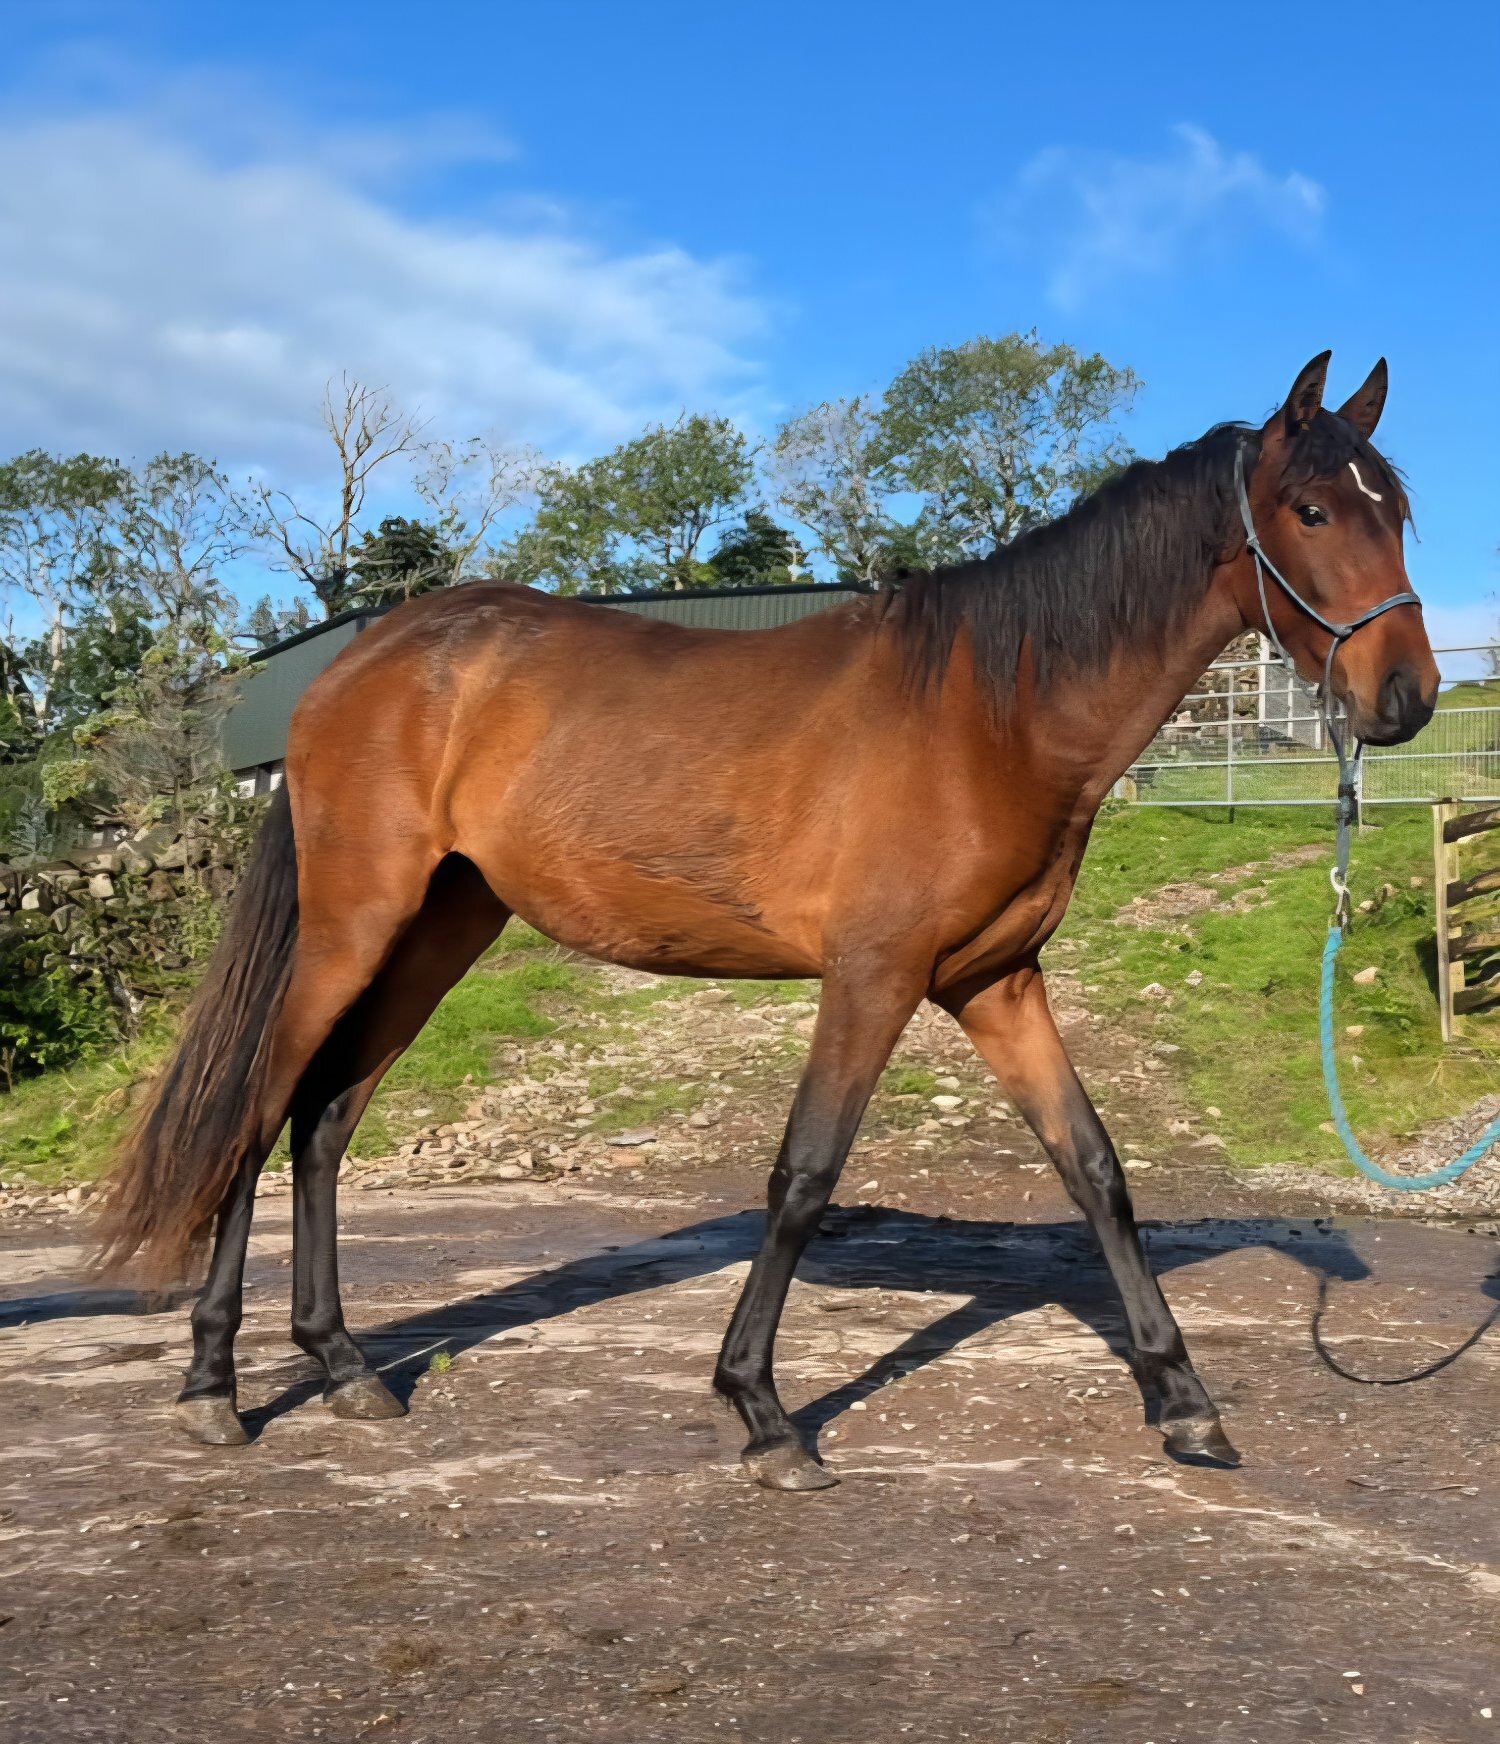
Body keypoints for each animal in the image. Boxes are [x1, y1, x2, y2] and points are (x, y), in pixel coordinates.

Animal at [96, 352, 1438, 1490]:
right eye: (1312, 513)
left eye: (1399, 512)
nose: (1409, 697)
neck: (993, 713)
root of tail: (361, 662)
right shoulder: (875, 976)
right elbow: (804, 1174)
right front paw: (762, 1411)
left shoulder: (997, 981)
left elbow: (1096, 1171)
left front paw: (1185, 1402)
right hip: (355, 925)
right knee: (260, 1108)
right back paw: (213, 1384)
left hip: (441, 929)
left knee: (324, 1119)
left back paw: (342, 1366)